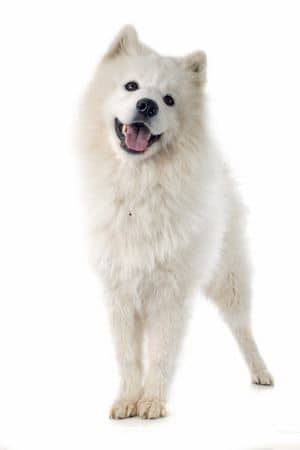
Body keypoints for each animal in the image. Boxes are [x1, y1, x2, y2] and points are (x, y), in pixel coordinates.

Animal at [78, 24, 274, 418]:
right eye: (131, 86)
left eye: (169, 100)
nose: (148, 105)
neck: (139, 187)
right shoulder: (120, 291)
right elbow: (128, 357)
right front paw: (127, 399)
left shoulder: (169, 293)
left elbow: (160, 354)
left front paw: (152, 401)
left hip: (228, 279)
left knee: (244, 328)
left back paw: (261, 372)